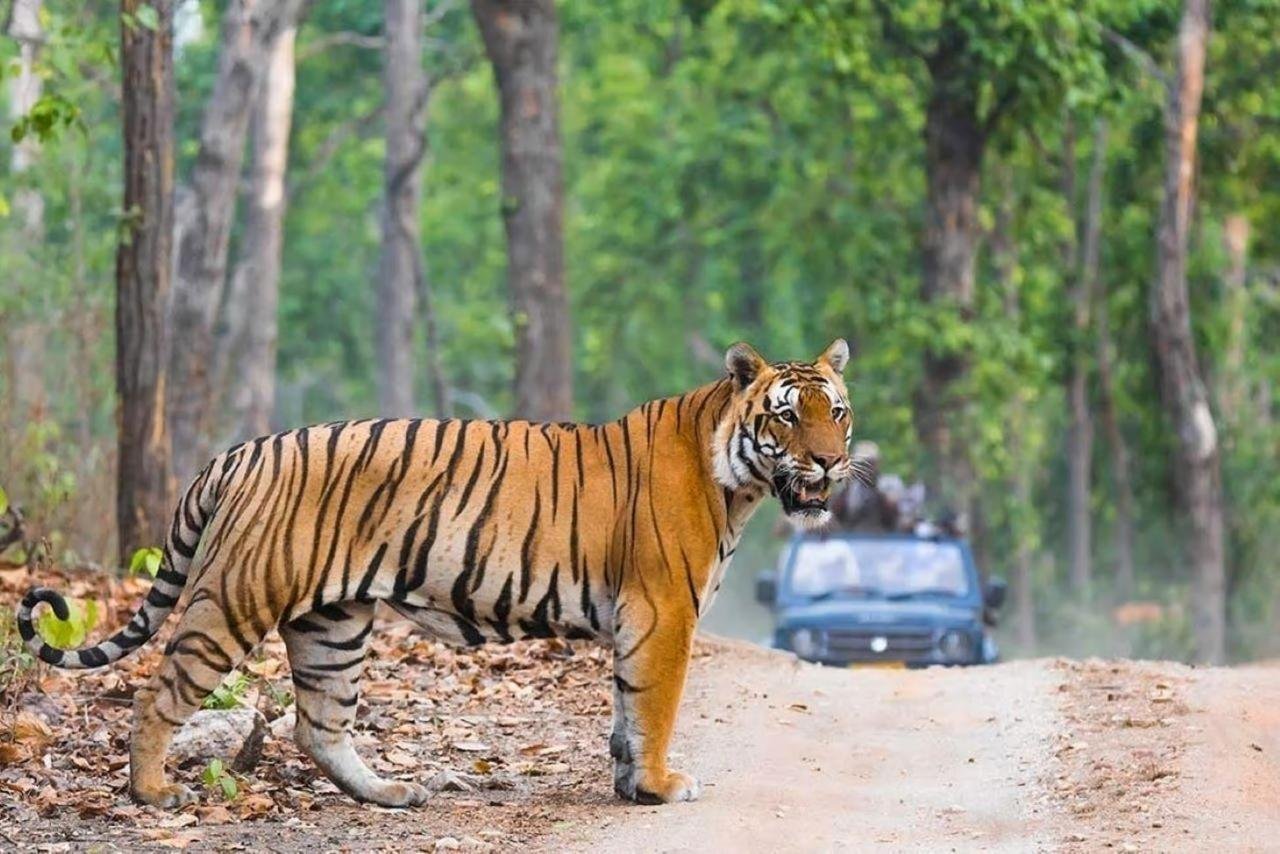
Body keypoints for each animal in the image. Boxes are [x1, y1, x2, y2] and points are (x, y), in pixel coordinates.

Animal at [17, 339, 856, 809]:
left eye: (837, 413)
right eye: (787, 415)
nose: (828, 461)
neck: (735, 479)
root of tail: (240, 451)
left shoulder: (641, 619)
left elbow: (626, 712)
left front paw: (628, 786)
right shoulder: (662, 612)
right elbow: (654, 707)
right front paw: (657, 787)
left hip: (333, 625)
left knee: (319, 726)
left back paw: (392, 794)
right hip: (236, 598)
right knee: (160, 692)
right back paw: (151, 791)